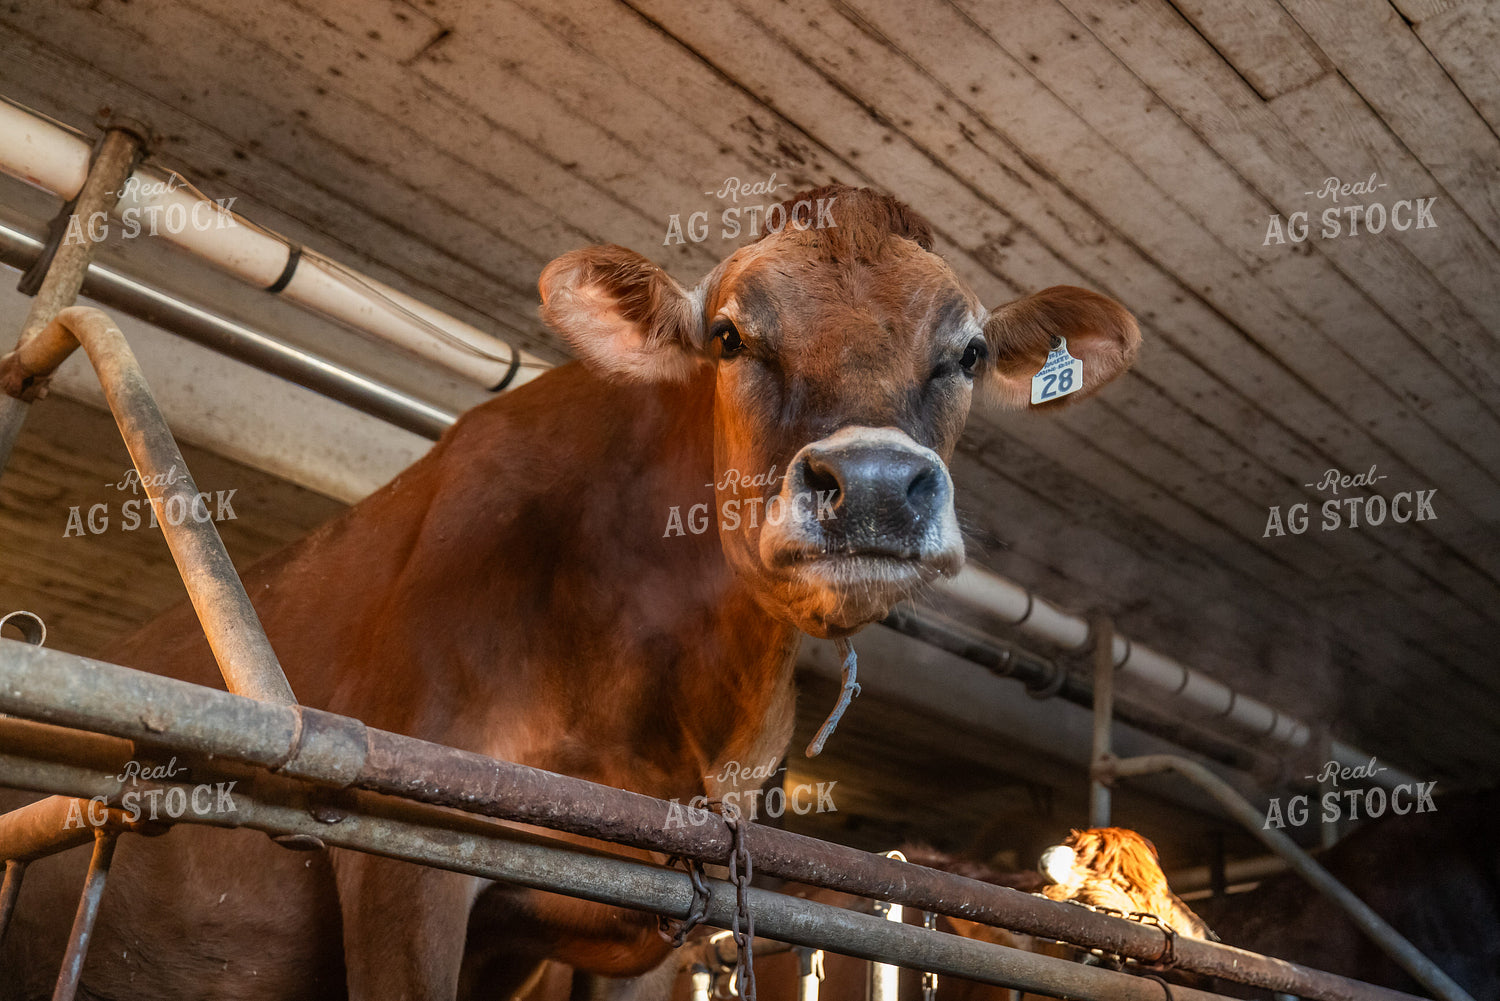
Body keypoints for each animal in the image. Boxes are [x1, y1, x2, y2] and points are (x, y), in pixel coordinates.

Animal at [0, 185, 1139, 999]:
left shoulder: (662, 904)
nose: (869, 486)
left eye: (970, 350)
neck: (675, 716)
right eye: (730, 335)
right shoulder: (404, 863)